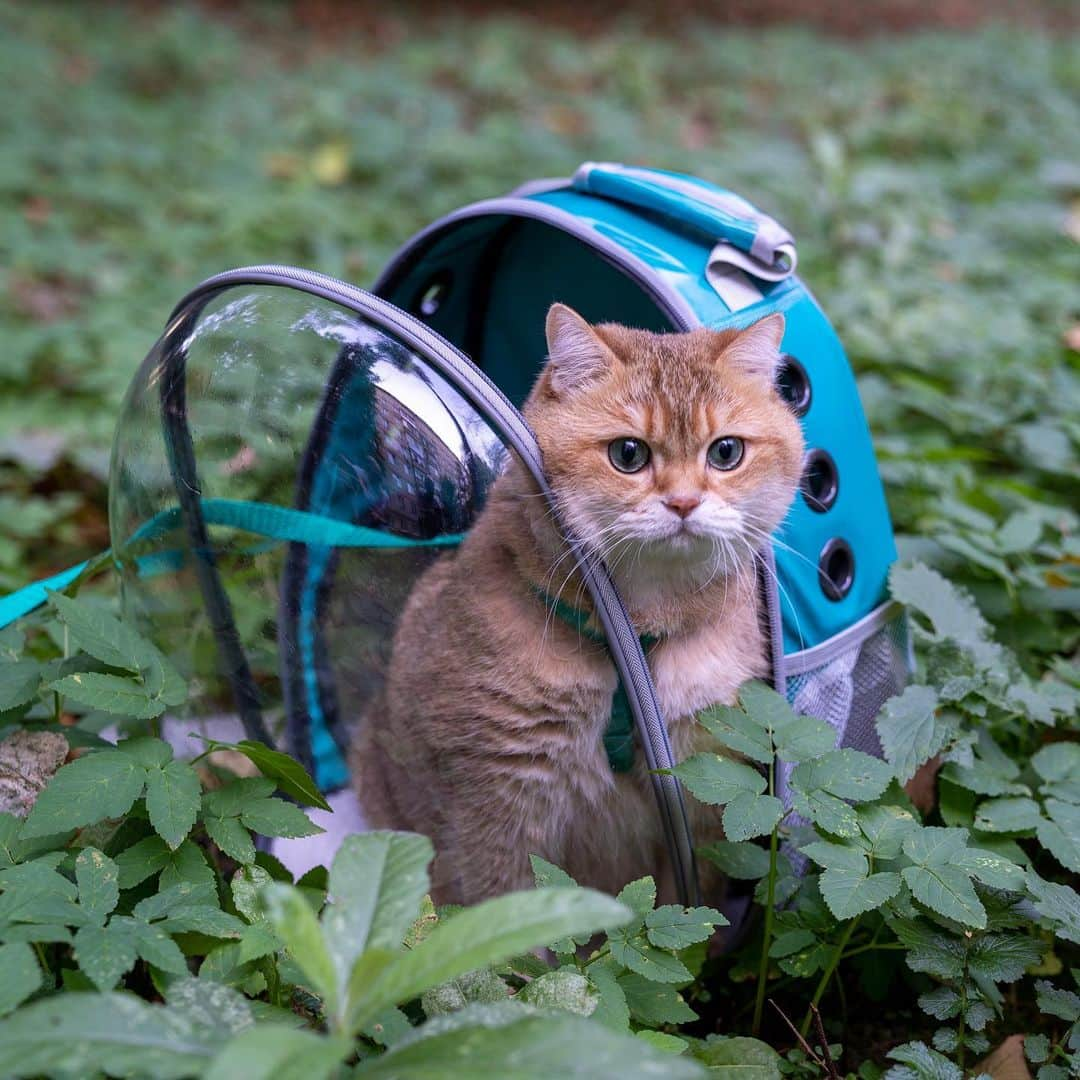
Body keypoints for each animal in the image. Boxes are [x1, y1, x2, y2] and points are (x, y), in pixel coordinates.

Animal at [349, 304, 807, 902]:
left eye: (726, 452)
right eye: (628, 454)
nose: (684, 502)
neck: (636, 638)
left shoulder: (699, 801)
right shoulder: (496, 811)